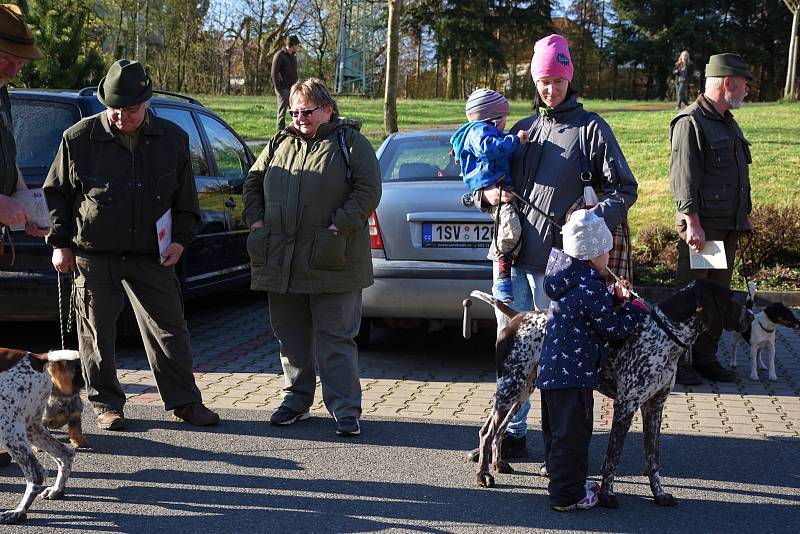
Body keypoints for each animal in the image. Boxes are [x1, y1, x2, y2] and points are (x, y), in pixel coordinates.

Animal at [0, 348, 79, 528]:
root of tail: (36, 357)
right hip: (31, 427)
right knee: (65, 453)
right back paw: (56, 491)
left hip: (8, 428)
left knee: (36, 474)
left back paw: (18, 512)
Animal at [468, 278, 752, 508]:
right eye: (730, 298)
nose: (750, 317)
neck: (664, 333)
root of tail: (517, 316)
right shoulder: (626, 406)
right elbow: (613, 457)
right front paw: (606, 496)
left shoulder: (654, 407)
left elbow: (653, 459)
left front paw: (659, 495)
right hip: (510, 387)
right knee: (487, 432)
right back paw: (484, 475)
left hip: (522, 390)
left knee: (497, 429)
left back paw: (498, 464)